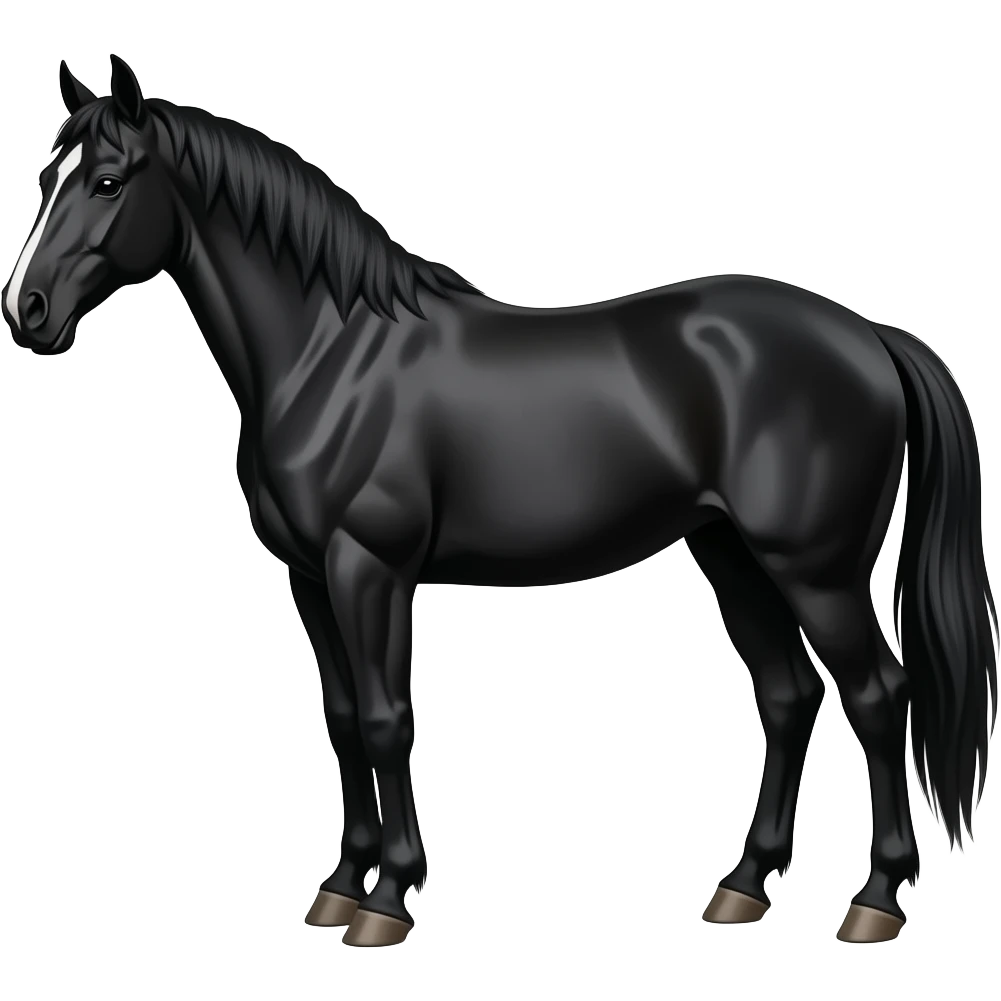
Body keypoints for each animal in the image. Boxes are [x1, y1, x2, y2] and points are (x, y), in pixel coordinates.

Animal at [3, 55, 997, 948]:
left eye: (105, 181)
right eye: (46, 177)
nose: (28, 311)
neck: (333, 351)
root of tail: (867, 335)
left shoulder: (371, 569)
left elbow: (385, 720)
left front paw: (387, 901)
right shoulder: (310, 576)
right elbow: (341, 720)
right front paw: (338, 885)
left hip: (815, 571)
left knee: (877, 695)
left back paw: (874, 899)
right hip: (732, 554)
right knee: (788, 697)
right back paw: (741, 888)